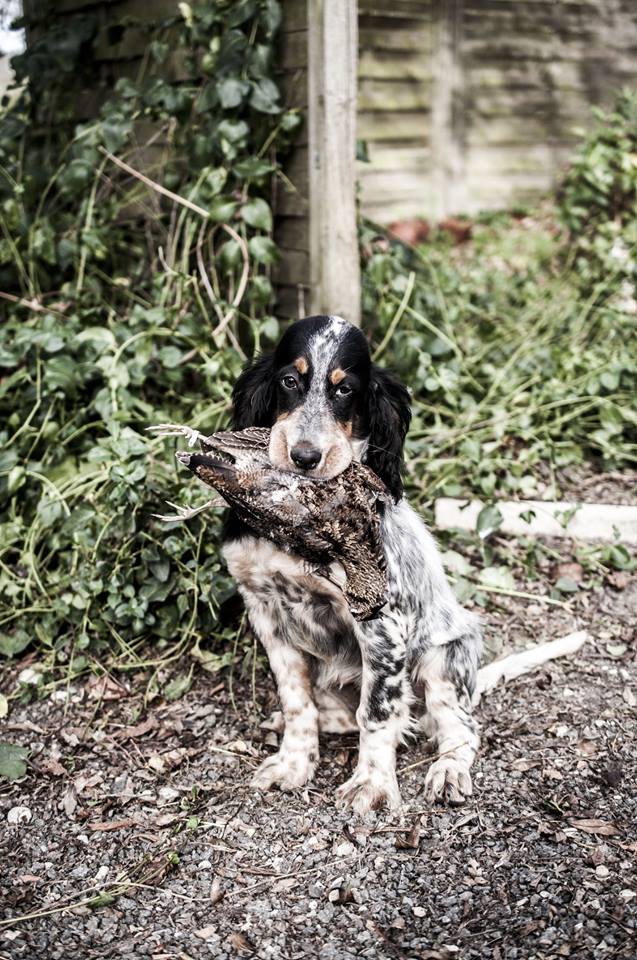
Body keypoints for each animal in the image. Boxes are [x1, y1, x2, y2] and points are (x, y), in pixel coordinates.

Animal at [221, 314, 480, 808]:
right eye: (289, 381)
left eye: (345, 390)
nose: (305, 456)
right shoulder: (266, 613)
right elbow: (296, 701)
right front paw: (293, 763)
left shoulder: (380, 625)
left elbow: (376, 712)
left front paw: (371, 783)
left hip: (444, 657)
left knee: (457, 726)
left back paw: (449, 769)